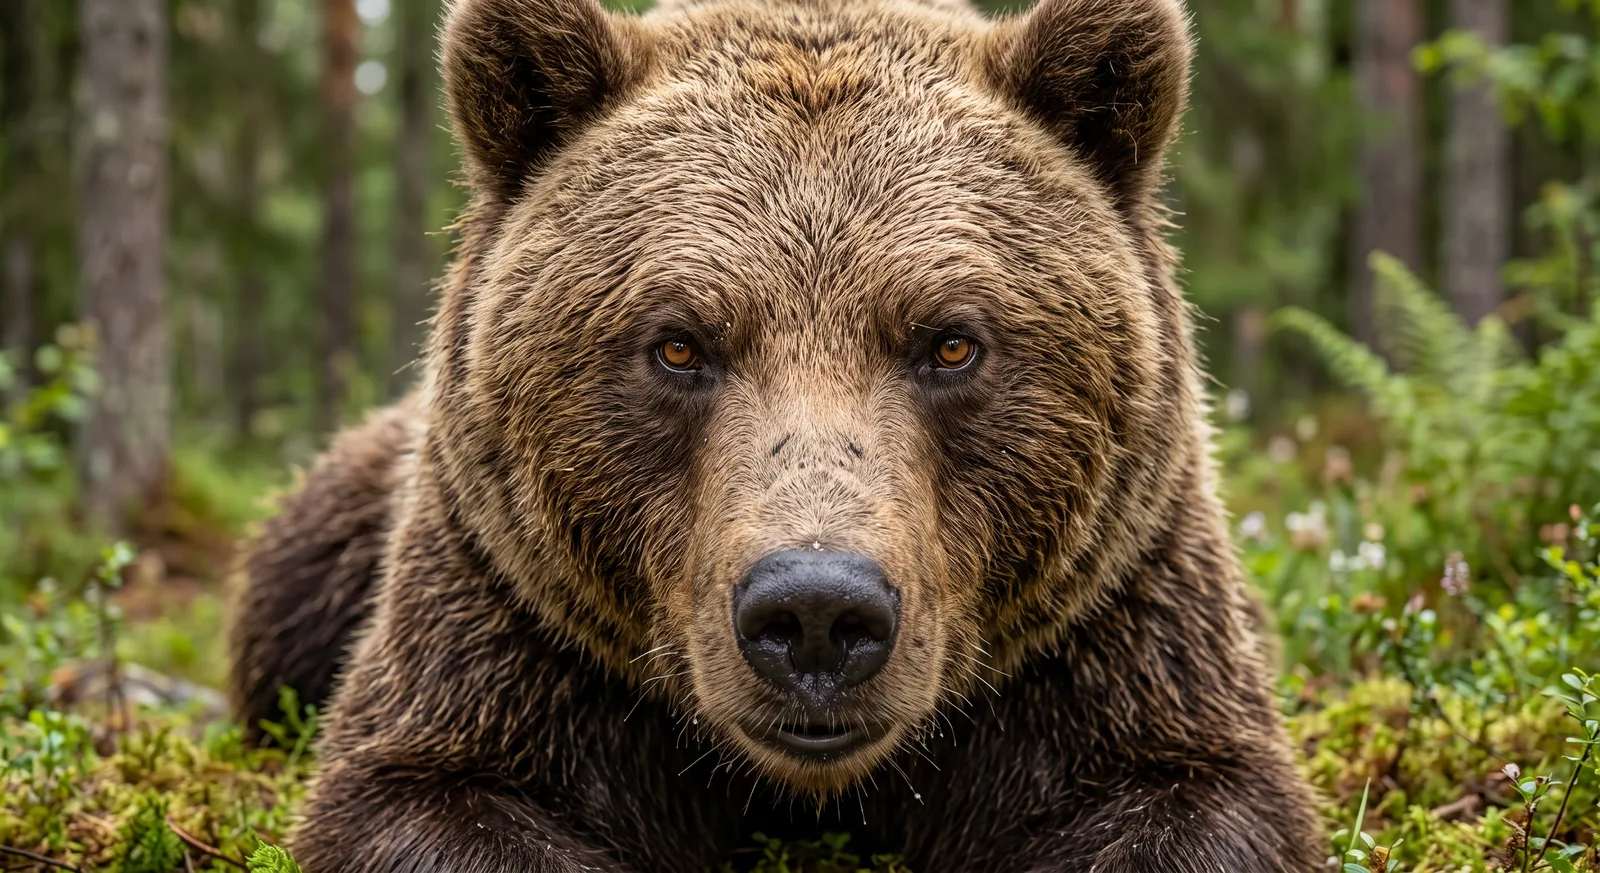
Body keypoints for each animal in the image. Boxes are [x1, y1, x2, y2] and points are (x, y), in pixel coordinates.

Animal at [226, 0, 1325, 868]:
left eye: (951, 342)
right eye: (677, 344)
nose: (817, 613)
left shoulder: (1110, 632)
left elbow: (1188, 795)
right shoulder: (510, 624)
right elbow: (432, 790)